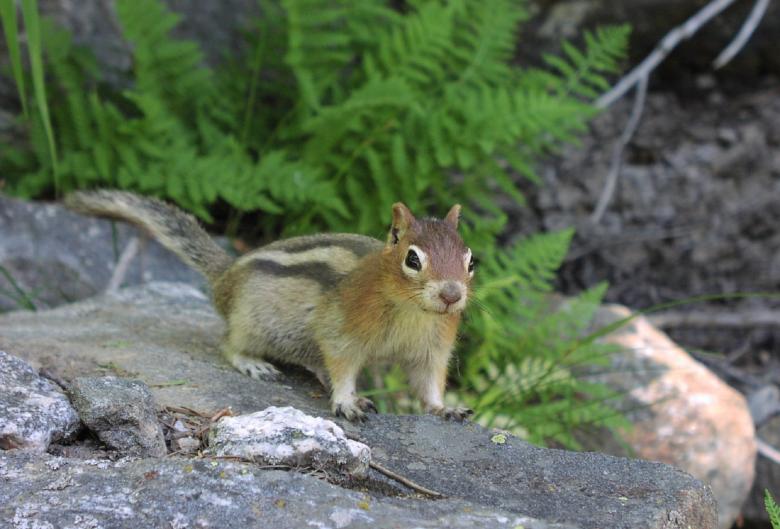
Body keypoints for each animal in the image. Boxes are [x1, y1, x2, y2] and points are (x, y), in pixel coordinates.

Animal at [65, 190, 475, 422]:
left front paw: (444, 408)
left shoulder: (432, 348)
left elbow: (429, 382)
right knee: (227, 343)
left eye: (471, 261)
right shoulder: (341, 329)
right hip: (250, 323)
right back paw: (255, 364)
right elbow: (342, 364)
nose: (452, 294)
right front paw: (347, 401)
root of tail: (226, 276)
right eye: (412, 259)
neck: (413, 312)